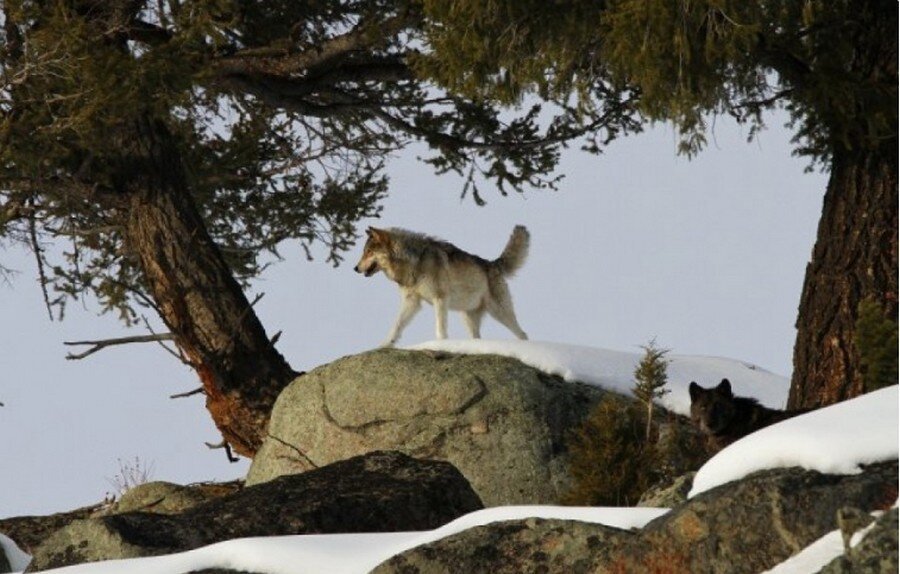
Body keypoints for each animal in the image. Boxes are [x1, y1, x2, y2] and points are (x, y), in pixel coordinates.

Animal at [356, 227, 532, 348]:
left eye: (369, 252)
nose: (355, 268)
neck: (416, 262)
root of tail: (493, 264)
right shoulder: (412, 301)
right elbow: (397, 324)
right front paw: (385, 345)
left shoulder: (440, 298)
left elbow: (440, 328)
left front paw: (440, 345)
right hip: (468, 317)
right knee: (477, 337)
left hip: (499, 312)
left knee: (523, 333)